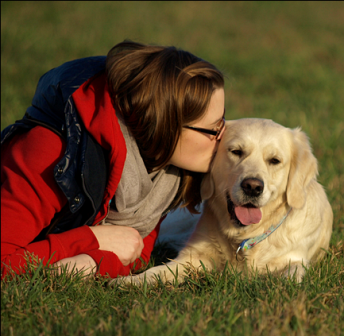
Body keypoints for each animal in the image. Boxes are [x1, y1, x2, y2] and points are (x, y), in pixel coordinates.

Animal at [109, 119, 332, 284]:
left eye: (274, 160)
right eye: (236, 151)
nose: (252, 187)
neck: (243, 237)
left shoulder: (294, 258)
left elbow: (292, 273)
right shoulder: (192, 257)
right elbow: (159, 271)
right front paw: (130, 281)